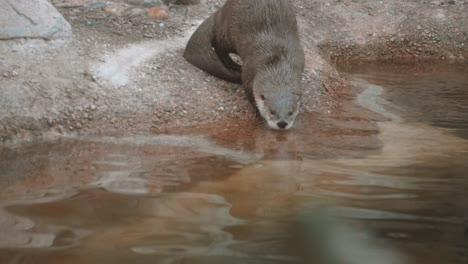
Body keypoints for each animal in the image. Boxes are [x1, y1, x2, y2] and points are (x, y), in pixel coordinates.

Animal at [183, 0, 304, 130]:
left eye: (291, 112)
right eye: (272, 111)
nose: (282, 123)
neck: (278, 60)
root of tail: (220, 12)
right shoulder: (249, 69)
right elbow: (250, 93)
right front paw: (259, 114)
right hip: (228, 33)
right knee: (219, 46)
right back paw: (234, 65)